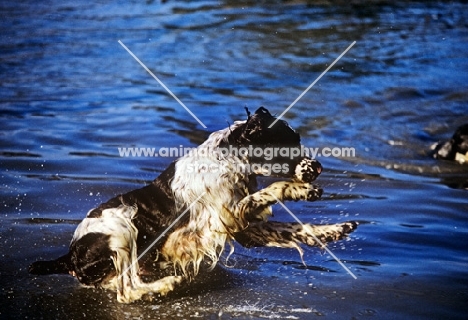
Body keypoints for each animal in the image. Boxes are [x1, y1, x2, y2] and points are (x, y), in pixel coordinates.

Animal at [29, 107, 358, 302]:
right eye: (288, 142)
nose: (318, 167)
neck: (228, 158)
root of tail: (69, 257)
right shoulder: (230, 217)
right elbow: (271, 190)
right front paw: (301, 190)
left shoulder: (245, 230)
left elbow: (296, 229)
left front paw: (337, 229)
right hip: (122, 227)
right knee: (126, 290)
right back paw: (165, 285)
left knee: (123, 284)